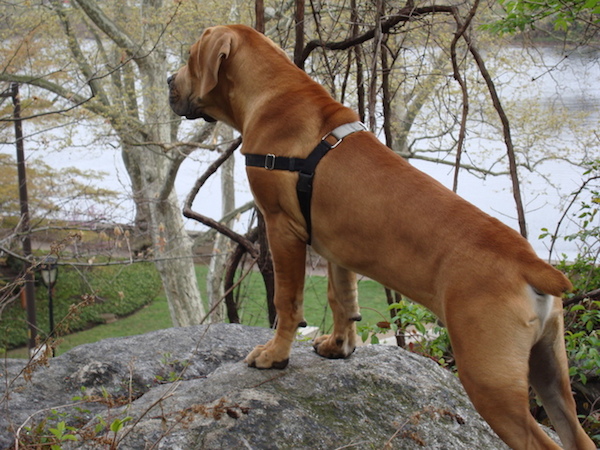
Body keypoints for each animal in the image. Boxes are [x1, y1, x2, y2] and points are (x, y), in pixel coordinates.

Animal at [169, 25, 596, 450]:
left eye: (189, 57)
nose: (170, 80)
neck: (275, 92)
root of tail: (531, 264)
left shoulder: (281, 228)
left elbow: (287, 301)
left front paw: (275, 354)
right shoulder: (335, 247)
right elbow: (342, 298)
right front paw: (339, 346)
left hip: (489, 381)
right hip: (549, 372)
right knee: (577, 434)